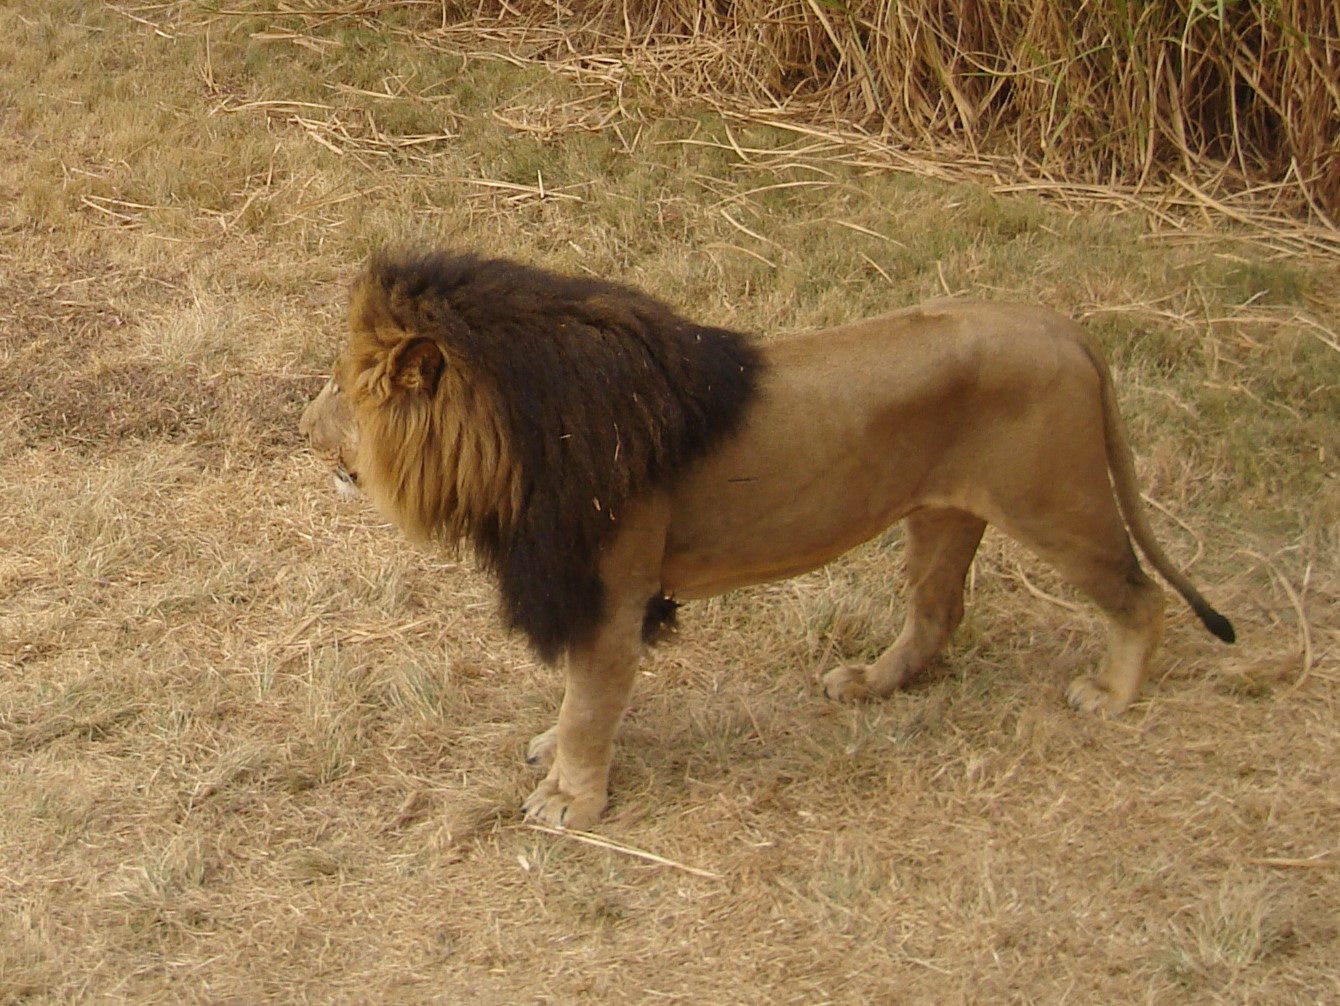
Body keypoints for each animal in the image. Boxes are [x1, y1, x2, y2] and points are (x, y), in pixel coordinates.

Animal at [304, 253, 1232, 835]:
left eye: (345, 390)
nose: (303, 430)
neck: (516, 440)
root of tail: (1064, 325)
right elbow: (574, 697)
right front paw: (551, 752)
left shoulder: (614, 593)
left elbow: (592, 704)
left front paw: (572, 799)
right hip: (941, 513)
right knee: (939, 614)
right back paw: (870, 685)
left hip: (1055, 504)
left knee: (1140, 594)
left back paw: (1110, 693)